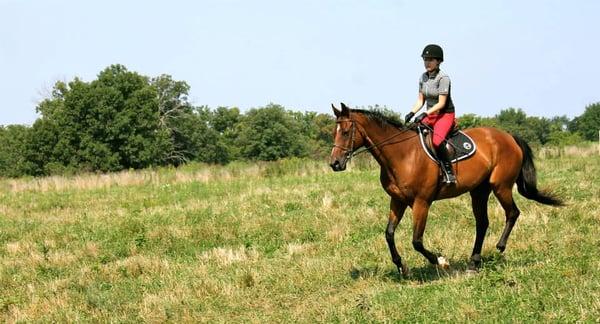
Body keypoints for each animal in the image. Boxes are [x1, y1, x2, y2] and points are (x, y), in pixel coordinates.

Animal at [330, 102, 564, 274]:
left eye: (346, 131)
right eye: (335, 132)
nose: (335, 164)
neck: (402, 155)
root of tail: (509, 136)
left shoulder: (421, 202)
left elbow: (416, 241)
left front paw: (441, 261)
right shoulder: (397, 200)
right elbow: (388, 234)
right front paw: (401, 266)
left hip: (501, 186)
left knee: (513, 213)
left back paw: (500, 247)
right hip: (479, 190)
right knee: (482, 223)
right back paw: (473, 262)